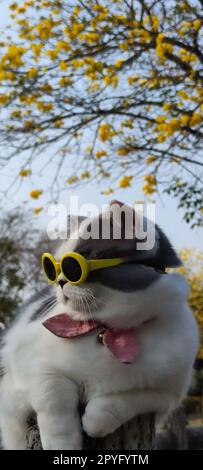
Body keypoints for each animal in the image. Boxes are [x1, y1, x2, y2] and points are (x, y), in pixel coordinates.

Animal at [0, 203, 199, 452]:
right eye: (54, 267)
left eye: (74, 266)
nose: (60, 281)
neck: (108, 331)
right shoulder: (29, 361)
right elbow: (54, 399)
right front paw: (64, 444)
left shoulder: (167, 395)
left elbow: (126, 400)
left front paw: (95, 421)